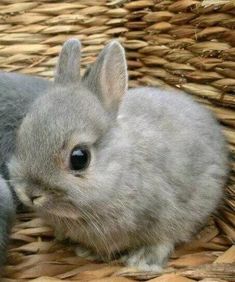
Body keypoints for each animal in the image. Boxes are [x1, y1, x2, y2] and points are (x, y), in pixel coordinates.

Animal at [4, 39, 229, 270]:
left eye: (79, 158)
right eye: (22, 134)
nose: (29, 193)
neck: (121, 173)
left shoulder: (169, 213)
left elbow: (165, 239)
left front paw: (142, 261)